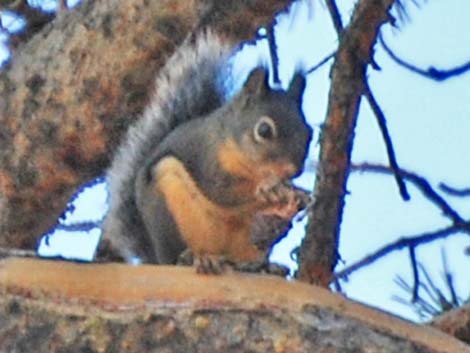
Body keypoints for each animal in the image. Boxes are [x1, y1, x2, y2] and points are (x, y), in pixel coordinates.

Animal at [100, 31, 312, 272]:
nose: (293, 171)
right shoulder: (207, 158)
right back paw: (194, 258)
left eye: (310, 132)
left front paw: (298, 195)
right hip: (167, 206)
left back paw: (265, 261)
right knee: (177, 255)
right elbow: (221, 191)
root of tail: (154, 259)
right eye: (264, 130)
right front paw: (268, 189)